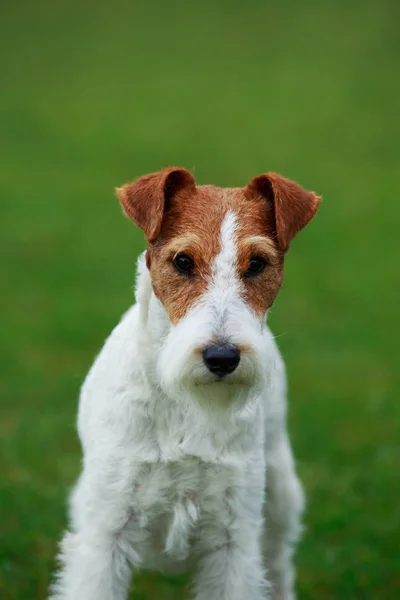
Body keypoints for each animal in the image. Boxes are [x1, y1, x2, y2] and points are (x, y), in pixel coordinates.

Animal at [50, 168, 320, 600]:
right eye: (182, 260)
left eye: (257, 263)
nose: (222, 357)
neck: (184, 404)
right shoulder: (106, 529)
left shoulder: (233, 536)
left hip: (278, 499)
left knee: (279, 565)